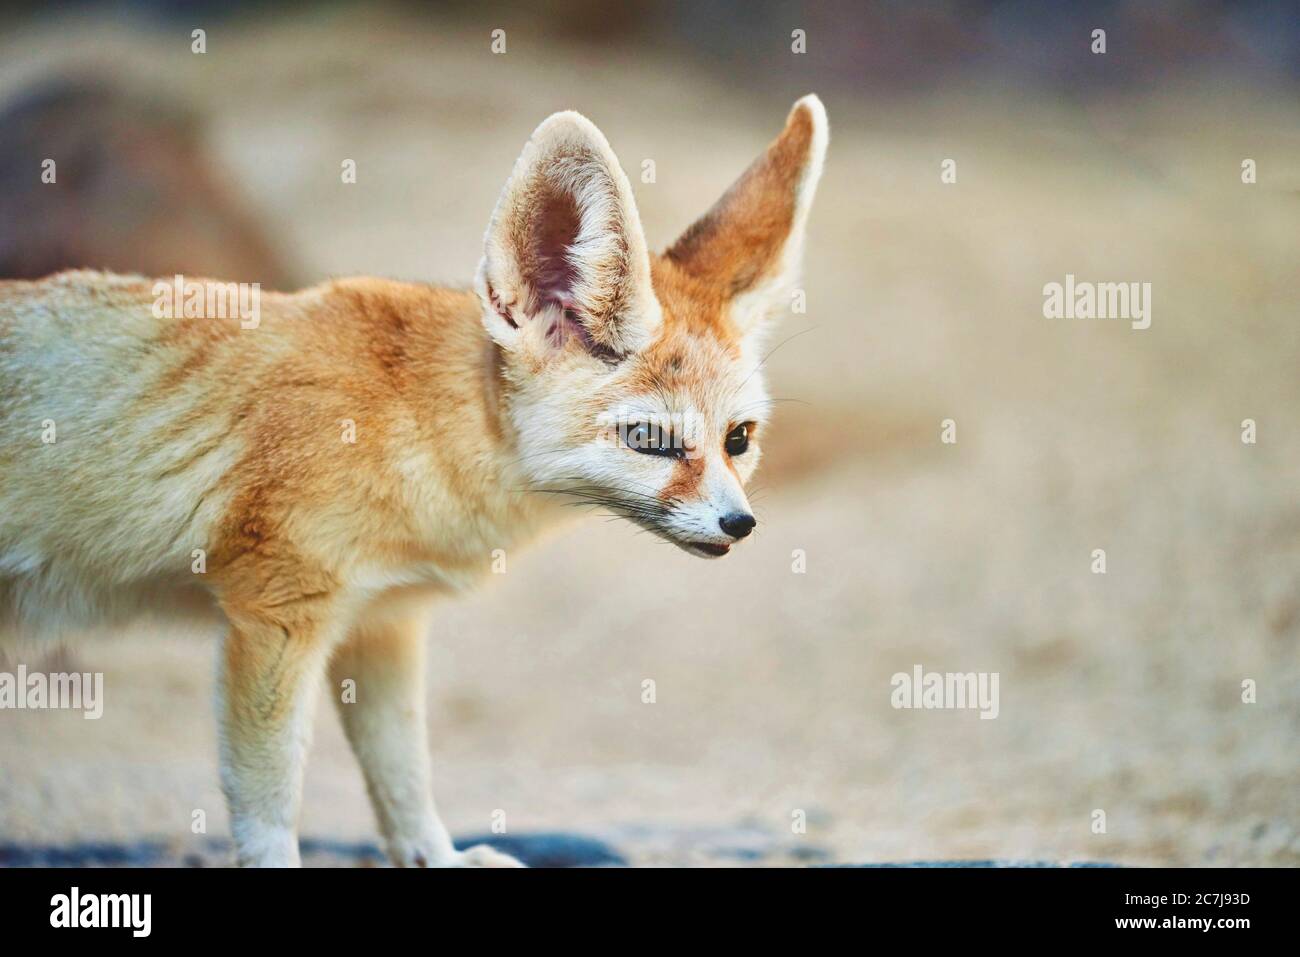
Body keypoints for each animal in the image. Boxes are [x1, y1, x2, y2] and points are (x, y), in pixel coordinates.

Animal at [0, 95, 826, 868]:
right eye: (651, 440)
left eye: (739, 439)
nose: (740, 524)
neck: (412, 420)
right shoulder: (274, 617)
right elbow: (269, 796)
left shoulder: (385, 620)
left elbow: (402, 771)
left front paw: (439, 855)